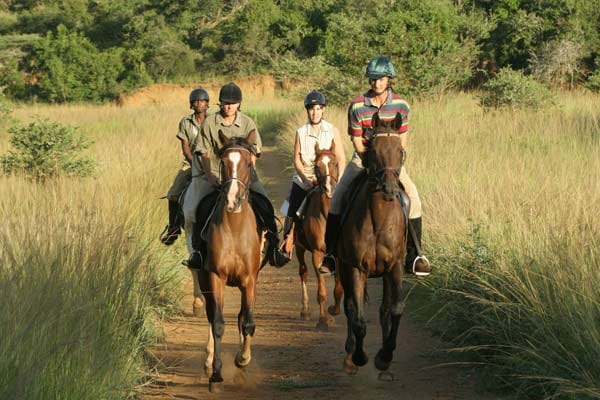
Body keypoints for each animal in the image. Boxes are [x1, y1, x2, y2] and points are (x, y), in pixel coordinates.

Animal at [196, 130, 264, 392]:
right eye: (223, 162)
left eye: (248, 163)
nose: (233, 200)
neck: (235, 228)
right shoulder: (216, 277)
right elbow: (217, 323)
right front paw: (216, 374)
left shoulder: (250, 280)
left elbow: (247, 322)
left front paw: (243, 359)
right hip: (203, 279)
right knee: (210, 313)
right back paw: (208, 361)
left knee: (243, 317)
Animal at [338, 111, 408, 378]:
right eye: (373, 150)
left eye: (400, 151)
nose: (388, 189)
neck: (379, 220)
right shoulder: (356, 268)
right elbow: (357, 318)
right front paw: (359, 357)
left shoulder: (395, 266)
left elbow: (395, 309)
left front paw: (385, 356)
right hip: (342, 268)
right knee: (348, 306)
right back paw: (349, 355)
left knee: (384, 309)